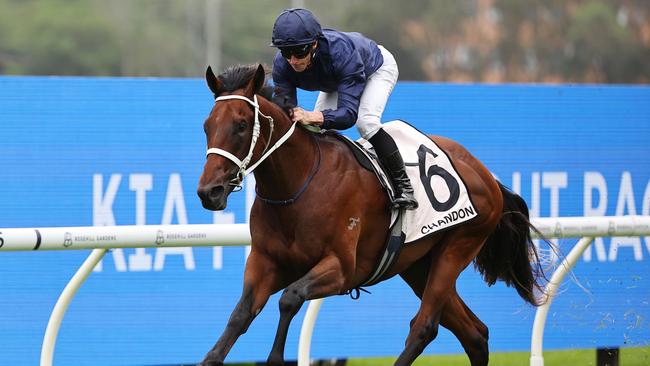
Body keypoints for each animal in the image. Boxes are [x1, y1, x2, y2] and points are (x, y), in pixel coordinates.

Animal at [195, 65, 540, 366]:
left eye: (241, 125)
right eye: (207, 126)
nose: (209, 192)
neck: (296, 187)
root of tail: (484, 173)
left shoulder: (342, 268)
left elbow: (289, 298)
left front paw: (276, 358)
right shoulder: (265, 261)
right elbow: (240, 314)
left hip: (457, 248)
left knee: (424, 326)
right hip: (418, 265)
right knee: (475, 334)